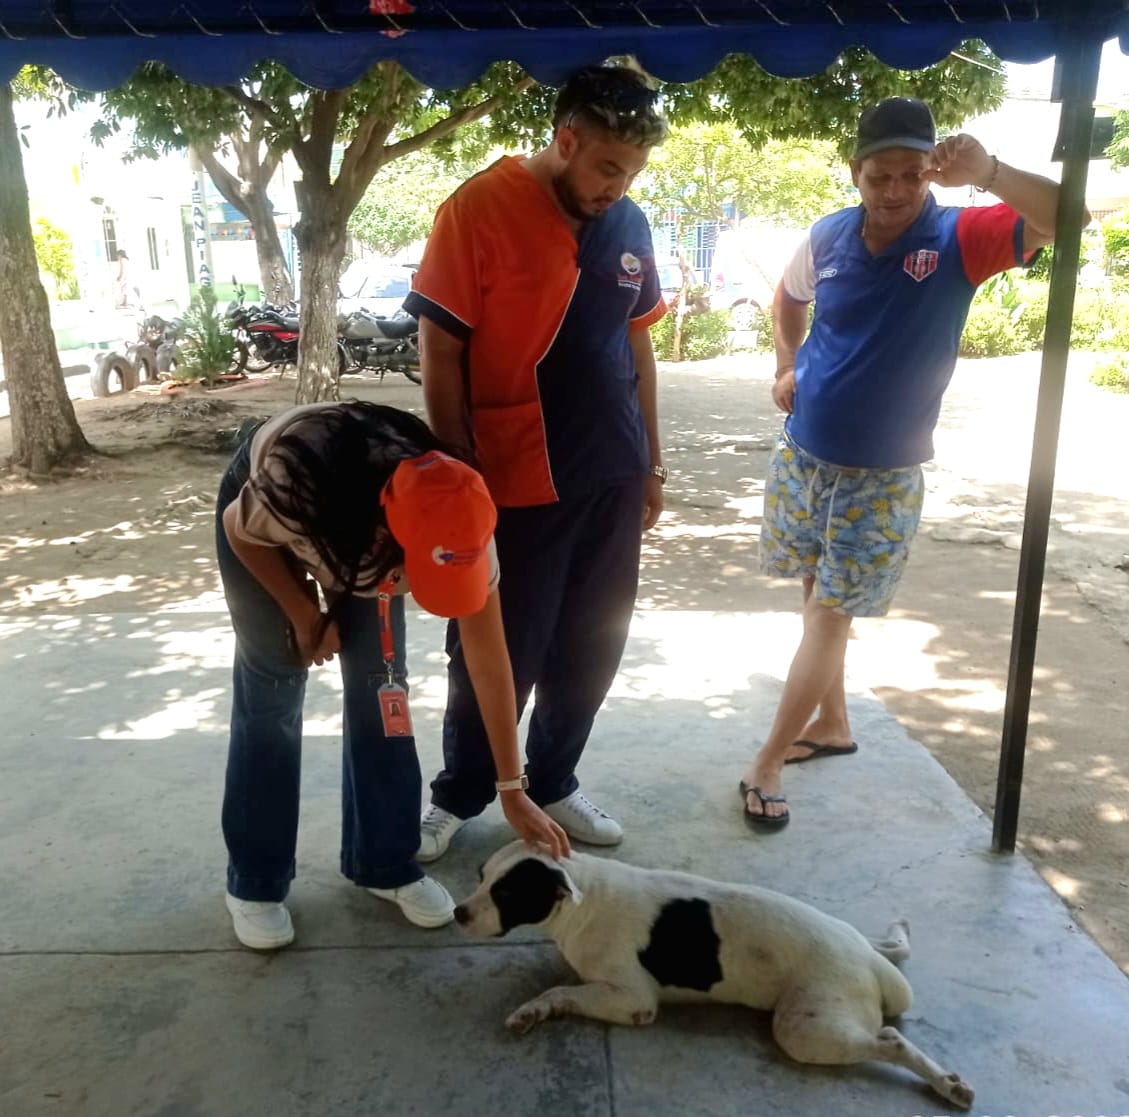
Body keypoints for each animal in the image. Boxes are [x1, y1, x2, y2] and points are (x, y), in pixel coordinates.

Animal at [453, 844, 975, 1106]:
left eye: (507, 892)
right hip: (851, 966)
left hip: (806, 1029)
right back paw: (894, 936)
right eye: (480, 876)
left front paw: (534, 1008)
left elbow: (564, 988)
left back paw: (946, 1084)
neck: (583, 897)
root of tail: (869, 965)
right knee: (893, 950)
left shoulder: (632, 1000)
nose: (458, 913)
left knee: (891, 1041)